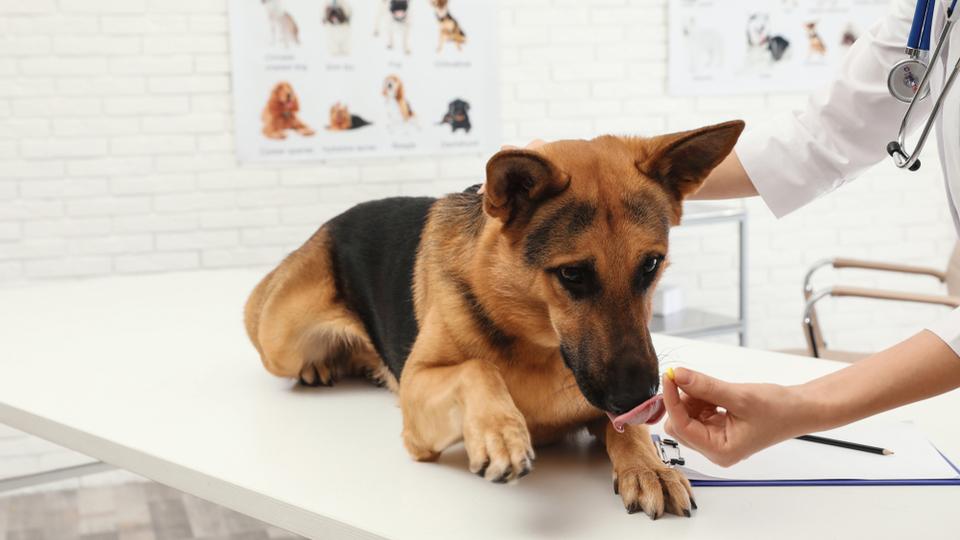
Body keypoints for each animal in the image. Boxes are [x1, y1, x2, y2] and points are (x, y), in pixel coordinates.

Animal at [244, 120, 748, 516]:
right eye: (572, 274)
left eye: (651, 265)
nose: (639, 396)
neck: (536, 340)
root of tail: (333, 221)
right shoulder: (417, 396)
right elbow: (476, 368)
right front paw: (499, 432)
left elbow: (629, 432)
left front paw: (650, 465)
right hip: (280, 340)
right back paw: (322, 364)